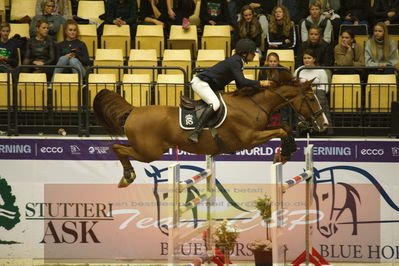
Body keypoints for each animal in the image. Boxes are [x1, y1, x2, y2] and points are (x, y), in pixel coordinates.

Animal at [95, 79, 330, 187]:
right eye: (311, 99)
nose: (324, 125)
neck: (254, 104)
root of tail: (132, 111)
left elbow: (286, 129)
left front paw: (286, 152)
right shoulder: (249, 139)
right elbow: (281, 129)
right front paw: (285, 153)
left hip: (148, 150)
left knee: (119, 147)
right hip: (149, 152)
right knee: (117, 147)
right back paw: (127, 176)